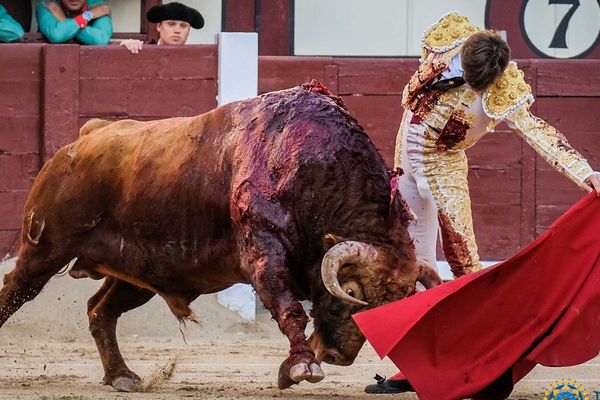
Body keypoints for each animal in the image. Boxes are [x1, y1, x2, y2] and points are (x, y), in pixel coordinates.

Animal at [0, 80, 440, 390]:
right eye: (352, 294)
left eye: (395, 305)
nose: (339, 356)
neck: (313, 166)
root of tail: (86, 136)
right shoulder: (263, 248)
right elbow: (286, 303)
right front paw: (302, 364)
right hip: (45, 247)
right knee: (16, 290)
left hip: (142, 273)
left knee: (100, 310)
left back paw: (122, 375)